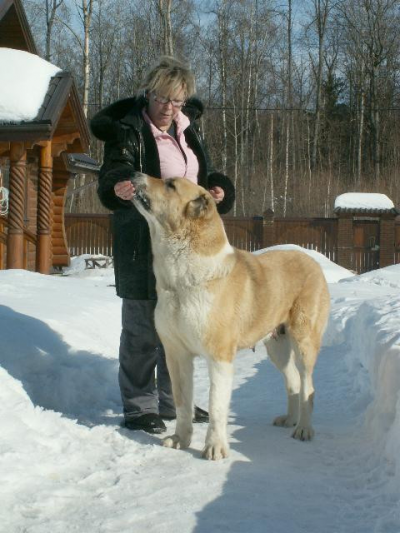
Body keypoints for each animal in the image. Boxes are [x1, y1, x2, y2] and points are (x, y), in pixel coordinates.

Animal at [133, 174, 330, 458]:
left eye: (170, 184)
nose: (136, 174)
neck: (181, 279)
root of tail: (311, 260)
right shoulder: (177, 355)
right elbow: (182, 402)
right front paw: (181, 438)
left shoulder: (219, 357)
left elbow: (216, 405)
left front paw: (214, 447)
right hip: (277, 346)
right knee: (292, 380)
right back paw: (290, 420)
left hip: (304, 342)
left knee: (308, 386)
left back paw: (304, 429)